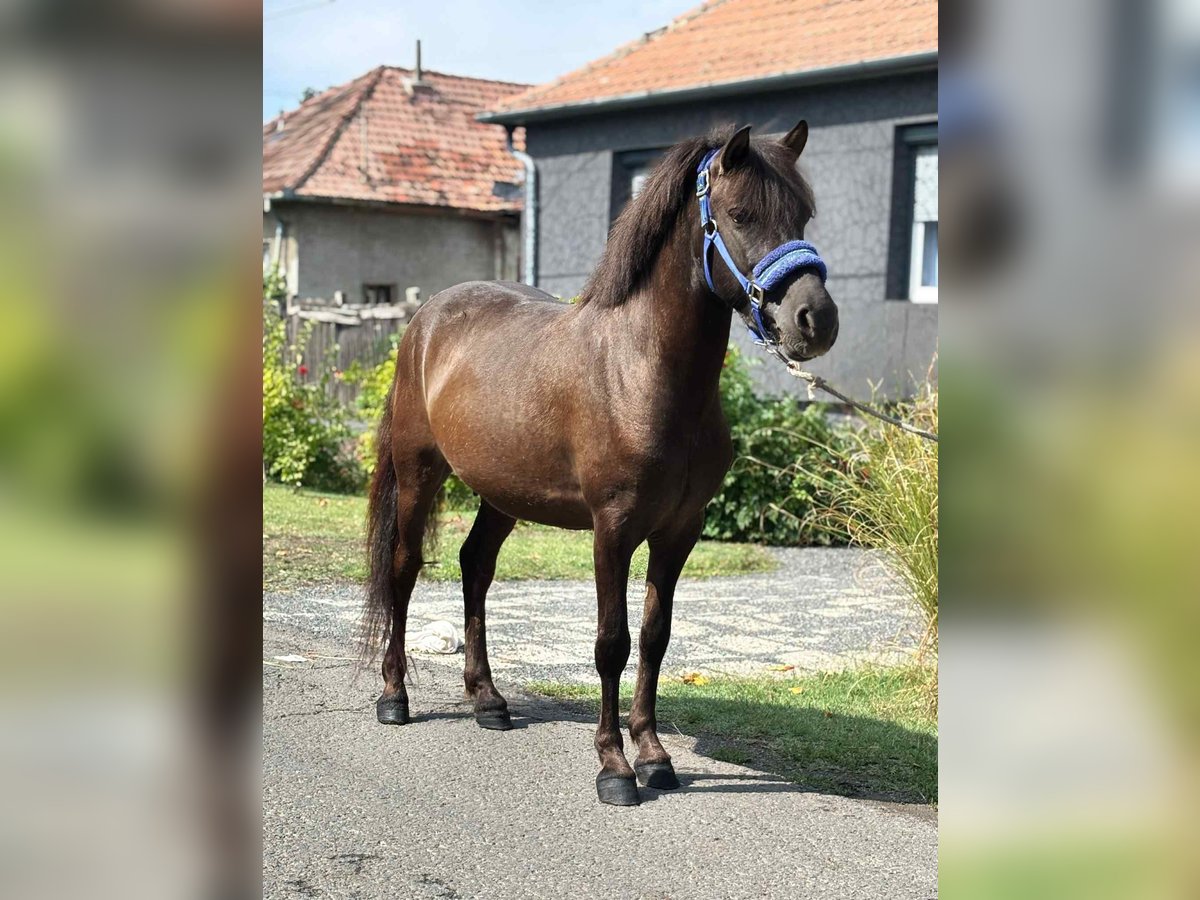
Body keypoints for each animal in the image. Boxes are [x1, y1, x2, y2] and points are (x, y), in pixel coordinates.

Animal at [362, 121, 839, 806]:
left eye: (802, 215)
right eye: (741, 215)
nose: (815, 320)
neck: (641, 373)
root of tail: (426, 319)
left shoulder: (679, 531)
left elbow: (655, 638)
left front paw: (654, 756)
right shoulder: (612, 530)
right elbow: (612, 642)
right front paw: (614, 766)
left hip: (502, 493)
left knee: (475, 567)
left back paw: (488, 700)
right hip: (419, 473)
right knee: (403, 569)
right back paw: (394, 695)